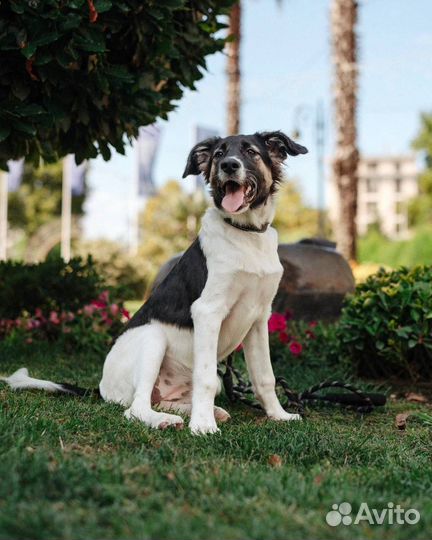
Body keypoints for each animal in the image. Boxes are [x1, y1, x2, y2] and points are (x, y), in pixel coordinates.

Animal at [2, 133, 308, 436]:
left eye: (251, 152)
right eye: (219, 154)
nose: (229, 166)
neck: (246, 234)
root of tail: (101, 388)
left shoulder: (258, 318)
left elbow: (265, 377)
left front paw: (279, 415)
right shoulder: (208, 311)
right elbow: (206, 377)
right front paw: (202, 425)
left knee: (163, 399)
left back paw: (200, 412)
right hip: (153, 338)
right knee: (136, 407)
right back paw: (166, 419)